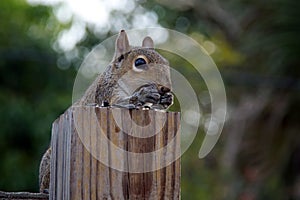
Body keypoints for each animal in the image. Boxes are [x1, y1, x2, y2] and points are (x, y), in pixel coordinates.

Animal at [38, 29, 173, 192]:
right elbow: (119, 103)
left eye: (166, 62)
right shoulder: (107, 94)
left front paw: (166, 99)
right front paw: (143, 94)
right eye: (139, 62)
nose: (166, 87)